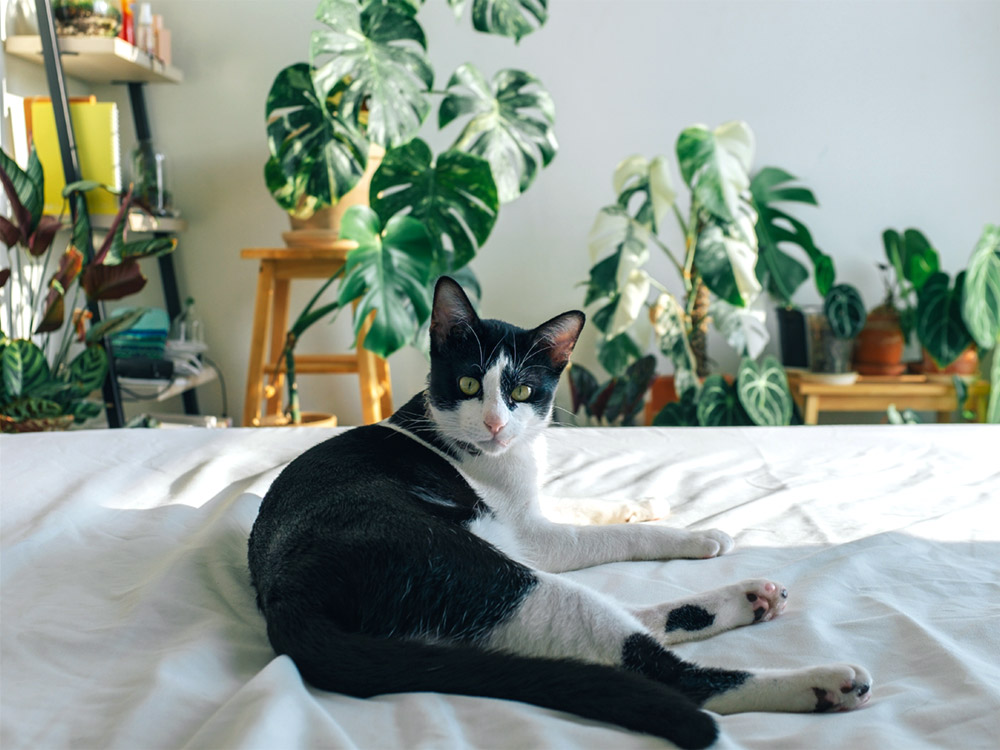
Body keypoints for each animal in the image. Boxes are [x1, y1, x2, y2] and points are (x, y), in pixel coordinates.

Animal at [246, 280, 872, 748]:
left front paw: (646, 504)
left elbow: (582, 501)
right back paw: (823, 683)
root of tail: (285, 594)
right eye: (469, 383)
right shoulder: (532, 537)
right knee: (657, 669)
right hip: (484, 572)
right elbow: (598, 538)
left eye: (523, 391)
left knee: (624, 632)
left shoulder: (530, 509)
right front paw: (692, 533)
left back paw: (750, 598)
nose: (496, 424)